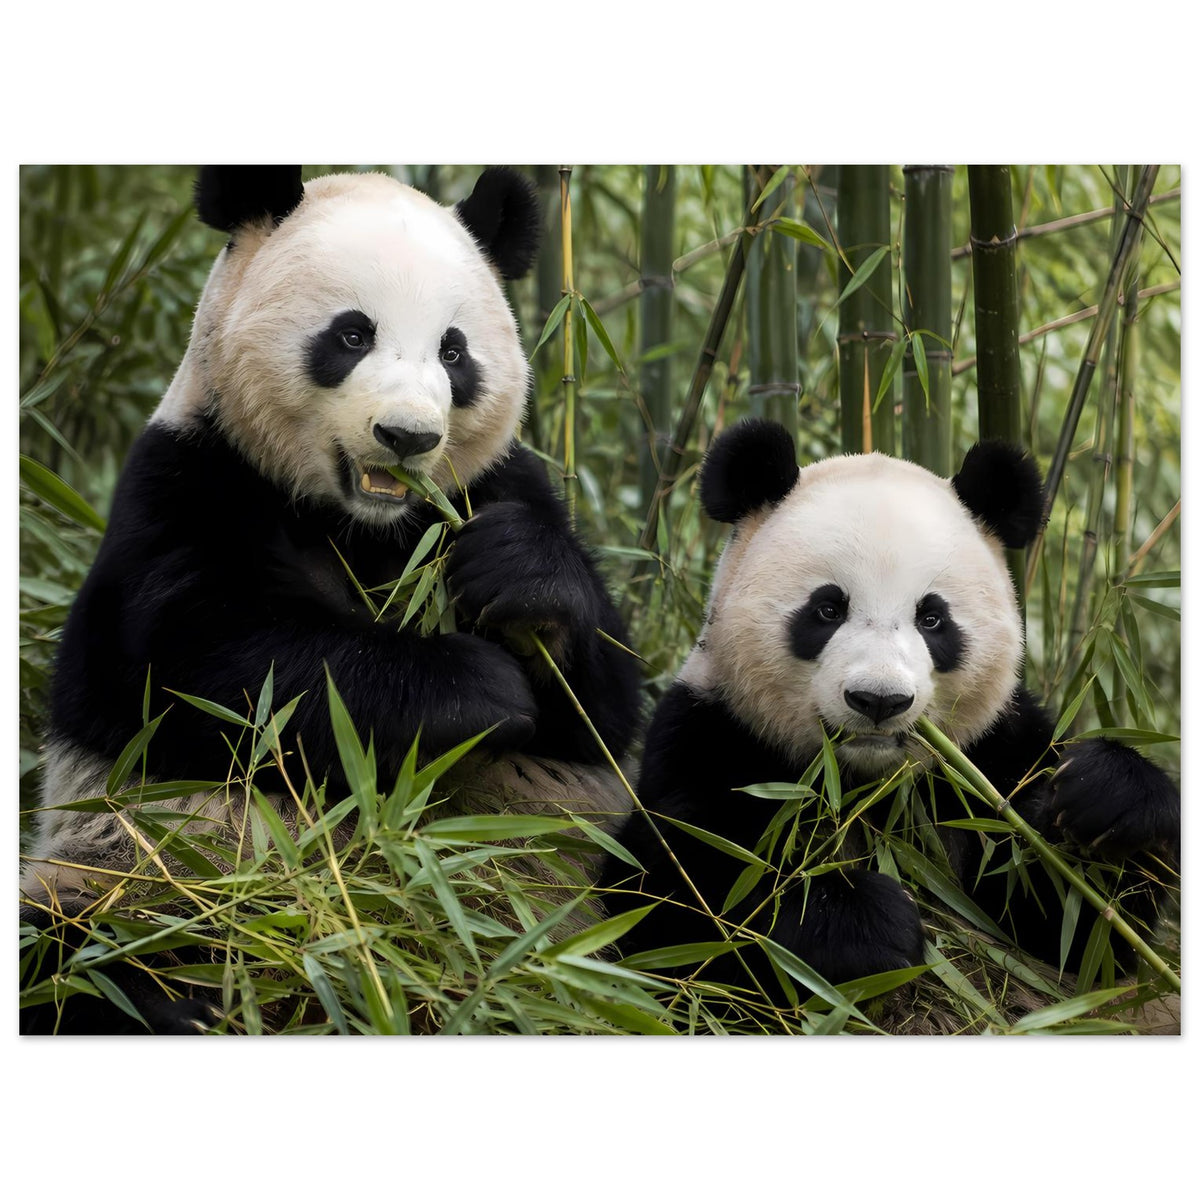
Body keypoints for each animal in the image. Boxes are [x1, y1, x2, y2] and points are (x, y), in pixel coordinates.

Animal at [21, 166, 641, 1034]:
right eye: (351, 336)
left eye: (454, 351)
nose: (408, 437)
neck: (361, 524)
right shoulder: (184, 486)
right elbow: (224, 673)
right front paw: (478, 688)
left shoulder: (492, 488)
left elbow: (603, 711)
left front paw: (522, 583)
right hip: (138, 879)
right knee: (82, 957)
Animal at [602, 418, 1179, 1012]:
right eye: (828, 609)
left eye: (932, 618)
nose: (879, 700)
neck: (865, 786)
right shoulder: (712, 734)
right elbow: (678, 895)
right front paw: (865, 925)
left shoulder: (991, 756)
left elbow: (1077, 932)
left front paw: (1106, 800)